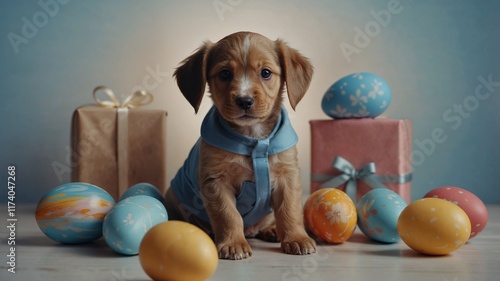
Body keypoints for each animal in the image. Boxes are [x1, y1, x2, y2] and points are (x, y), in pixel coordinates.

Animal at [168, 30, 316, 258]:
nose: (244, 100)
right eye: (225, 74)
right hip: (174, 195)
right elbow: (228, 215)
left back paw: (272, 229)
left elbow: (290, 210)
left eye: (266, 73)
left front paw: (296, 238)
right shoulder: (216, 181)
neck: (253, 138)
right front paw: (233, 243)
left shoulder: (288, 175)